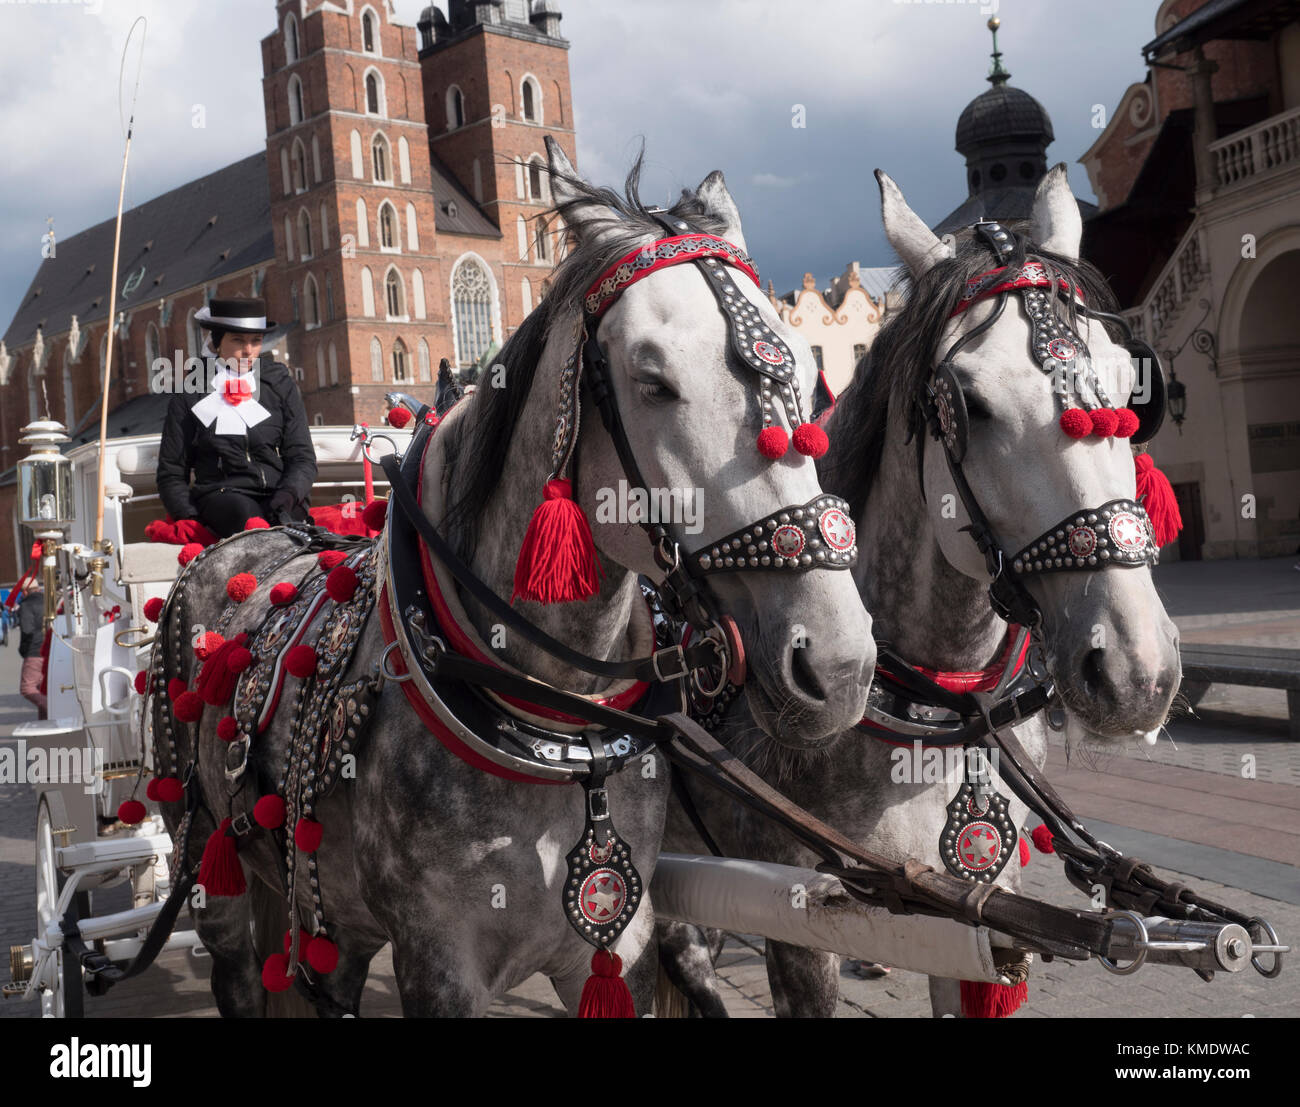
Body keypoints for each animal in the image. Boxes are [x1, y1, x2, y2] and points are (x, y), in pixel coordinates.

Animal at [147, 142, 873, 1018]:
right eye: (652, 380)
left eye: (802, 364)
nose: (837, 663)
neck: (553, 720)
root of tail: (245, 539)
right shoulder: (438, 964)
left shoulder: (615, 948)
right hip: (205, 855)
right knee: (237, 967)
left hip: (318, 904)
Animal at [665, 166, 1185, 1018]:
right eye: (970, 403)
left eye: (1130, 389)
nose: (1138, 670)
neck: (931, 712)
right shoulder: (797, 921)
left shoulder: (971, 919)